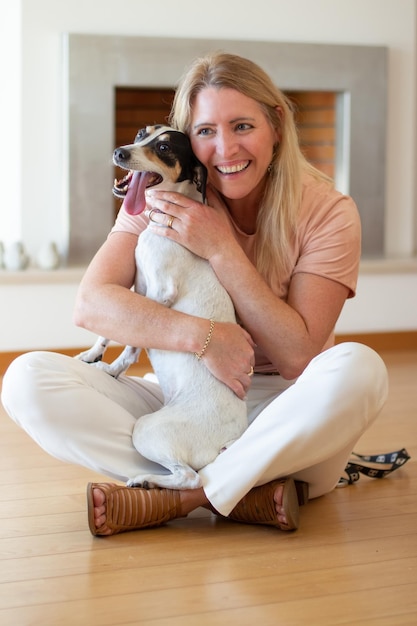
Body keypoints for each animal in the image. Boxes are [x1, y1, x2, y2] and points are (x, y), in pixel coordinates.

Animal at [76, 124, 247, 490]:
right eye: (142, 134)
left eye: (165, 147)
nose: (120, 152)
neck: (164, 222)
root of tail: (231, 440)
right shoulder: (135, 288)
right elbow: (109, 330)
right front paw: (93, 353)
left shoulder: (160, 293)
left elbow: (131, 345)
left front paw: (112, 369)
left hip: (147, 429)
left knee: (191, 479)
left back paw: (145, 479)